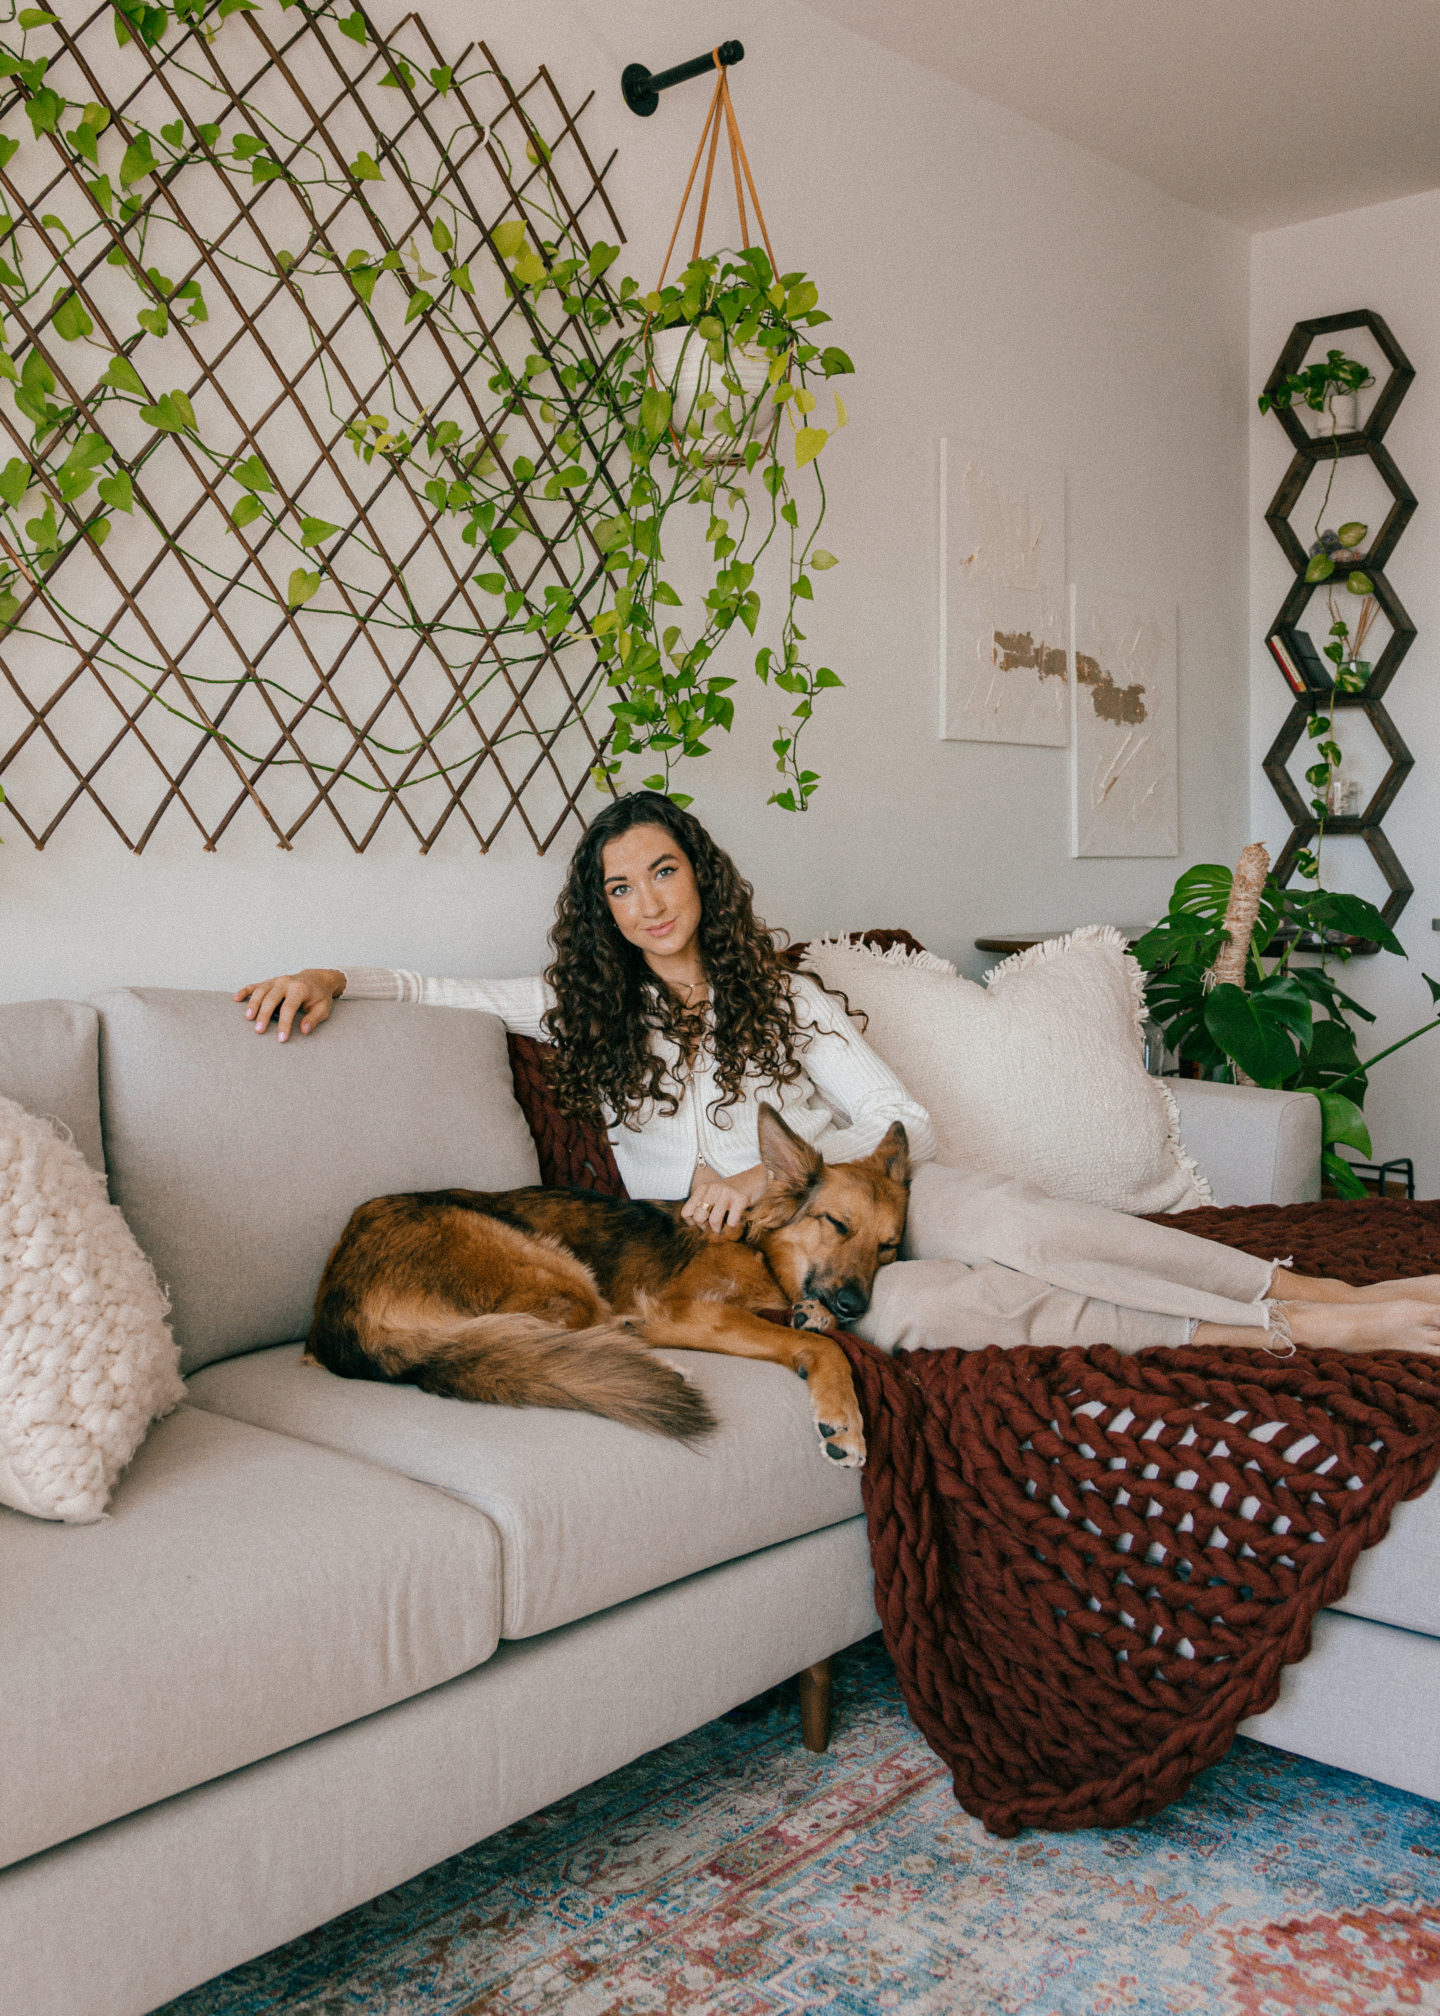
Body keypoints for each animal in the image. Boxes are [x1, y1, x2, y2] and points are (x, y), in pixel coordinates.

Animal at [308, 1104, 907, 1467]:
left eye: (889, 1247)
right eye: (838, 1224)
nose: (854, 1305)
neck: (756, 1245)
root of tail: (336, 1318)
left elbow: (808, 1324)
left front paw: (813, 1313)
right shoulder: (684, 1311)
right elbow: (824, 1349)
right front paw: (843, 1421)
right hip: (559, 1273)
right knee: (563, 1334)